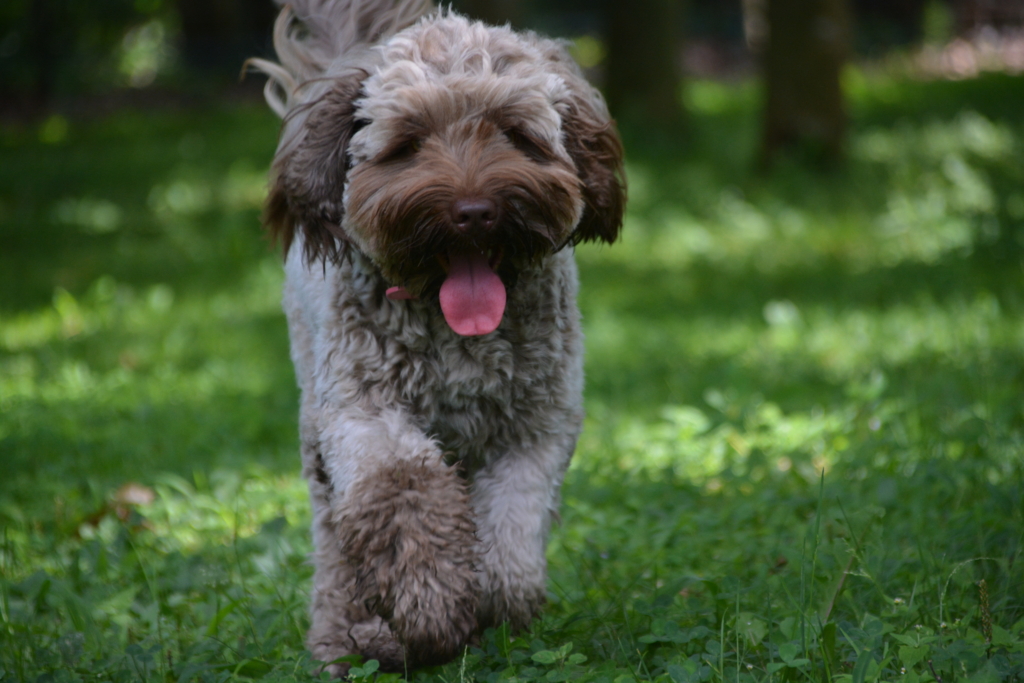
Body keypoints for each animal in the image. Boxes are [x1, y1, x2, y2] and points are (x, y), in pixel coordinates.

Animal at [247, 0, 622, 671]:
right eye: (408, 143)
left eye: (514, 133)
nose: (473, 212)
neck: (455, 332)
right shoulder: (364, 417)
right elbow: (404, 491)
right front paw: (430, 606)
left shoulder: (537, 427)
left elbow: (511, 539)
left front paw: (492, 603)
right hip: (317, 429)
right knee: (337, 539)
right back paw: (350, 637)